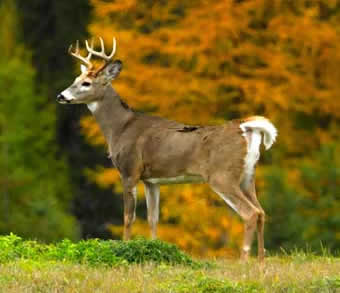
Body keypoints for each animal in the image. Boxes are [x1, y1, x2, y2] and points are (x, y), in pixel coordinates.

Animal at [57, 36, 276, 260]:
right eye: (75, 78)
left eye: (86, 83)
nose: (61, 96)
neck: (120, 127)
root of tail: (245, 127)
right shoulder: (152, 180)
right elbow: (153, 219)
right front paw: (155, 250)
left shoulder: (129, 170)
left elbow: (128, 217)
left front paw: (124, 250)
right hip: (248, 175)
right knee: (261, 212)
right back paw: (261, 261)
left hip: (222, 175)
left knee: (250, 213)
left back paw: (244, 261)